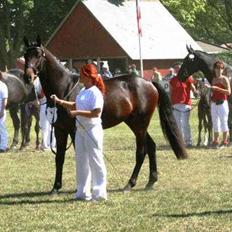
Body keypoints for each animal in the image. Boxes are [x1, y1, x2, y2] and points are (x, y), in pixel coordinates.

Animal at [23, 35, 187, 192]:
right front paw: (56, 187)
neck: (64, 88)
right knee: (151, 146)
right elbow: (60, 157)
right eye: (25, 55)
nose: (27, 77)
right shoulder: (60, 129)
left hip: (140, 124)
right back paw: (151, 181)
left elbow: (80, 156)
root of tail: (148, 83)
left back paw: (130, 184)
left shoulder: (75, 130)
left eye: (38, 55)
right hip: (135, 124)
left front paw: (83, 187)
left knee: (141, 151)